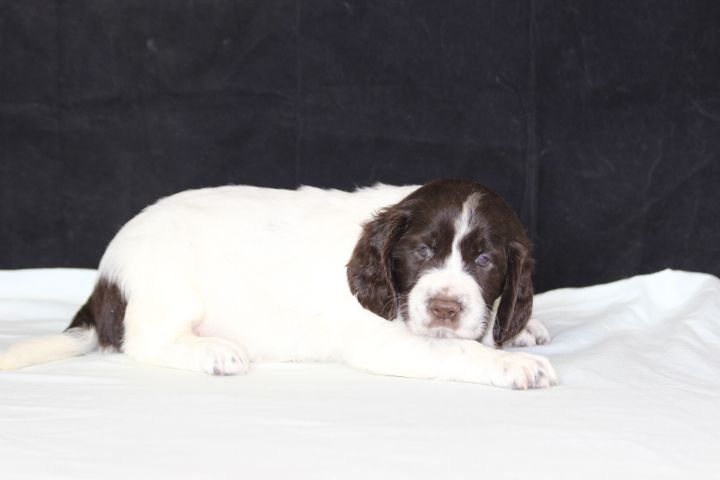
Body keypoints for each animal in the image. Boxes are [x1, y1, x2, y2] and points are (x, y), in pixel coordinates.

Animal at [0, 179, 557, 389]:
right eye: (422, 252)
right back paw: (212, 352)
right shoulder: (385, 342)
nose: (444, 308)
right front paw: (512, 364)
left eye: (484, 261)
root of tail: (103, 284)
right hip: (168, 281)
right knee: (144, 341)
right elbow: (457, 349)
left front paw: (520, 329)